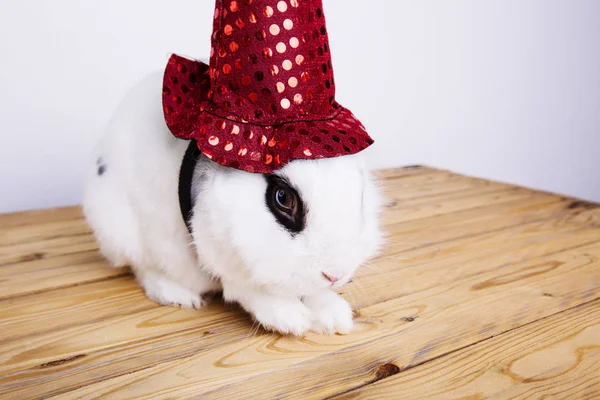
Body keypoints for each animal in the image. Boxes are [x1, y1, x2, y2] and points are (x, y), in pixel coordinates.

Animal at [83, 70, 384, 336]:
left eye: (360, 193)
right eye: (282, 198)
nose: (335, 274)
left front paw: (335, 315)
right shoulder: (218, 251)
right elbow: (247, 289)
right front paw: (290, 319)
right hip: (122, 230)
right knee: (143, 267)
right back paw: (181, 296)